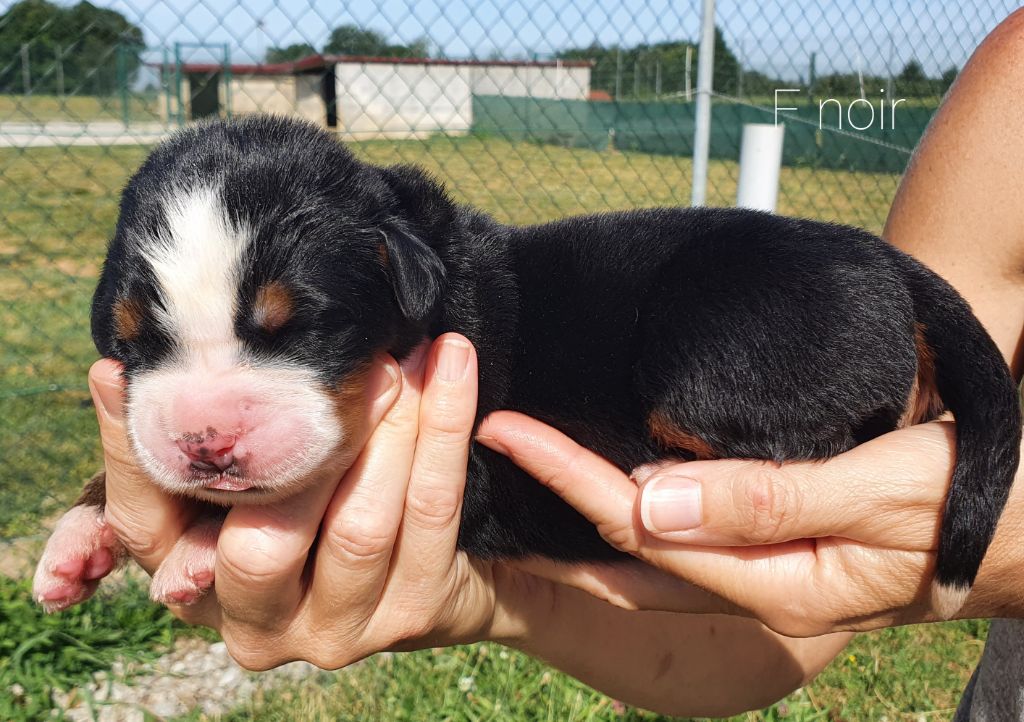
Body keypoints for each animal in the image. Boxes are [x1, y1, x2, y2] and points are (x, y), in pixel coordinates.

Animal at [32, 115, 1015, 618]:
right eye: (131, 344)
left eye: (301, 325)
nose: (205, 443)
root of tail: (888, 262)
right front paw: (80, 536)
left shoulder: (468, 460)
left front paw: (194, 550)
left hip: (708, 337)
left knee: (812, 438)